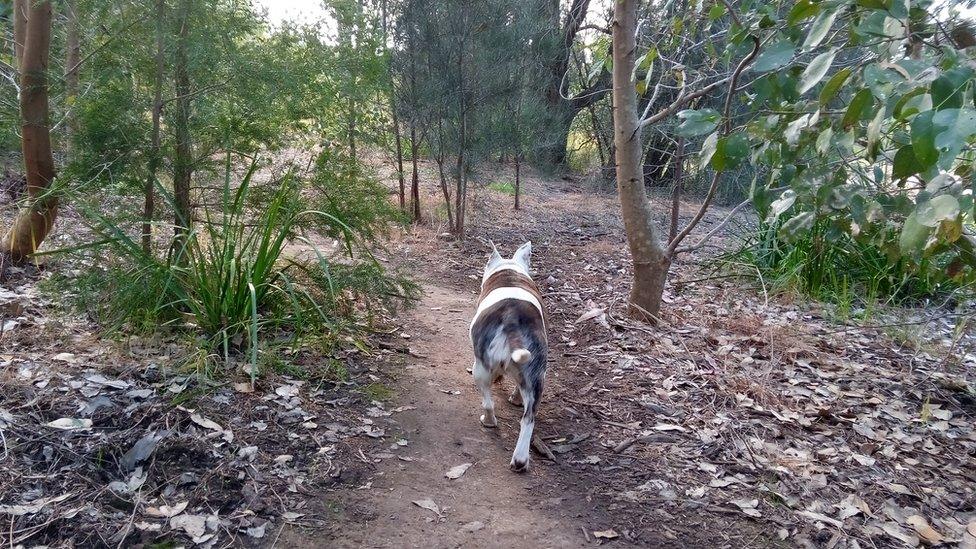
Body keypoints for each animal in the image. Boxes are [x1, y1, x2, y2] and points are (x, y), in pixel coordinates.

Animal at [468, 241, 544, 470]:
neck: (509, 271)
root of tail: (511, 318)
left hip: (479, 369)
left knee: (488, 402)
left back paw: (488, 421)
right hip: (536, 373)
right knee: (528, 418)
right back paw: (520, 460)